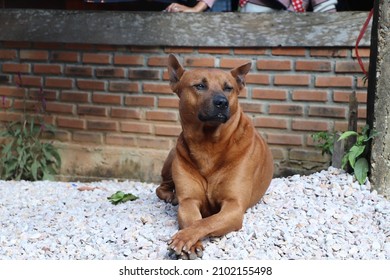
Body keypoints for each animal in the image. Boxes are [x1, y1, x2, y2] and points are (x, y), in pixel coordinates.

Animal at [156, 53, 274, 260]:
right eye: (200, 86)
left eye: (228, 88)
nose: (222, 102)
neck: (208, 144)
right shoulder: (189, 201)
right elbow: (193, 220)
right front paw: (191, 243)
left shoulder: (234, 206)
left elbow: (205, 222)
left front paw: (184, 238)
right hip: (172, 156)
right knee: (160, 187)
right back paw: (171, 196)